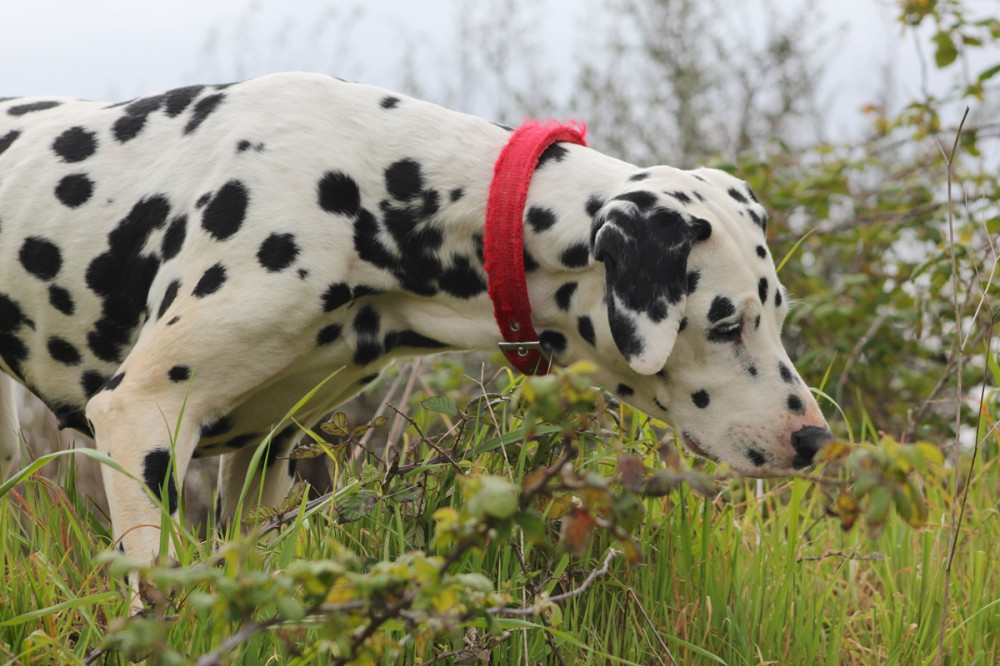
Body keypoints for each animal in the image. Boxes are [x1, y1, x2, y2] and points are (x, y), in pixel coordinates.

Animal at [0, 71, 828, 608]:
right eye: (724, 323)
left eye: (777, 313)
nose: (816, 440)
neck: (366, 186)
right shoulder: (142, 416)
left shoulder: (266, 453)